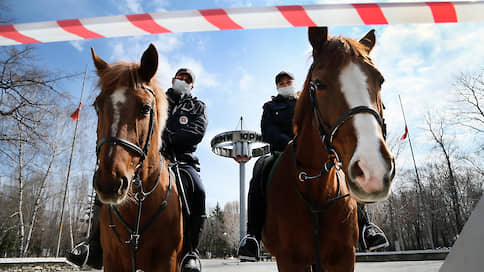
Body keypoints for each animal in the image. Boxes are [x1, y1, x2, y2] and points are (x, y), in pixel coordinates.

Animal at [262, 26, 396, 270]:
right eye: (319, 84)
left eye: (380, 80)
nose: (373, 170)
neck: (316, 187)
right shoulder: (289, 260)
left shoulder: (344, 256)